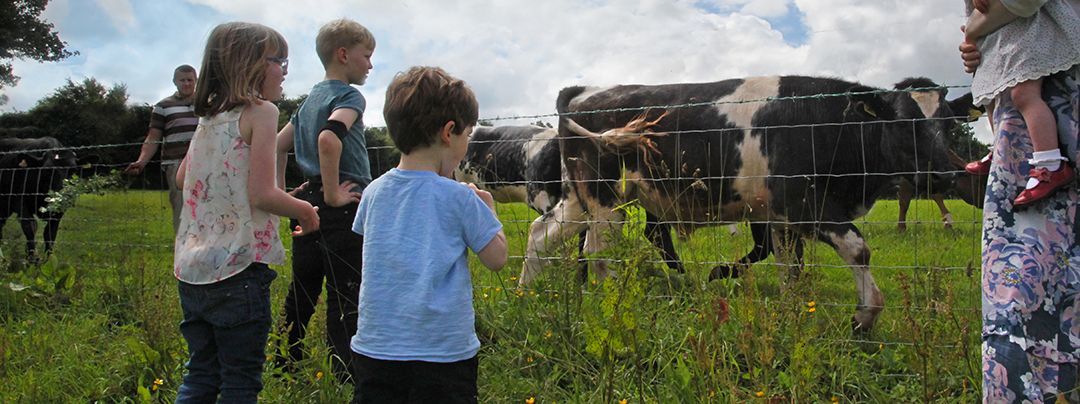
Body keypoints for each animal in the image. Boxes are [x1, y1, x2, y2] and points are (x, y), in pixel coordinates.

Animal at [527, 76, 976, 334]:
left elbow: (790, 270)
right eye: (902, 122)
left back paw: (525, 293)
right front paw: (863, 316)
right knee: (598, 250)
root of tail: (586, 90)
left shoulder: (781, 218)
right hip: (604, 197)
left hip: (579, 197)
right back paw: (610, 305)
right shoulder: (804, 202)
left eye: (948, 123)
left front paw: (794, 319)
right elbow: (857, 249)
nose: (943, 175)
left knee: (540, 234)